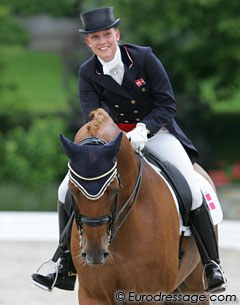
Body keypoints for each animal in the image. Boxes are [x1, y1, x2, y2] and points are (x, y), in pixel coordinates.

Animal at [62, 108, 212, 302]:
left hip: (195, 288)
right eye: (72, 190)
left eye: (113, 189)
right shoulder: (92, 295)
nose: (94, 253)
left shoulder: (151, 294)